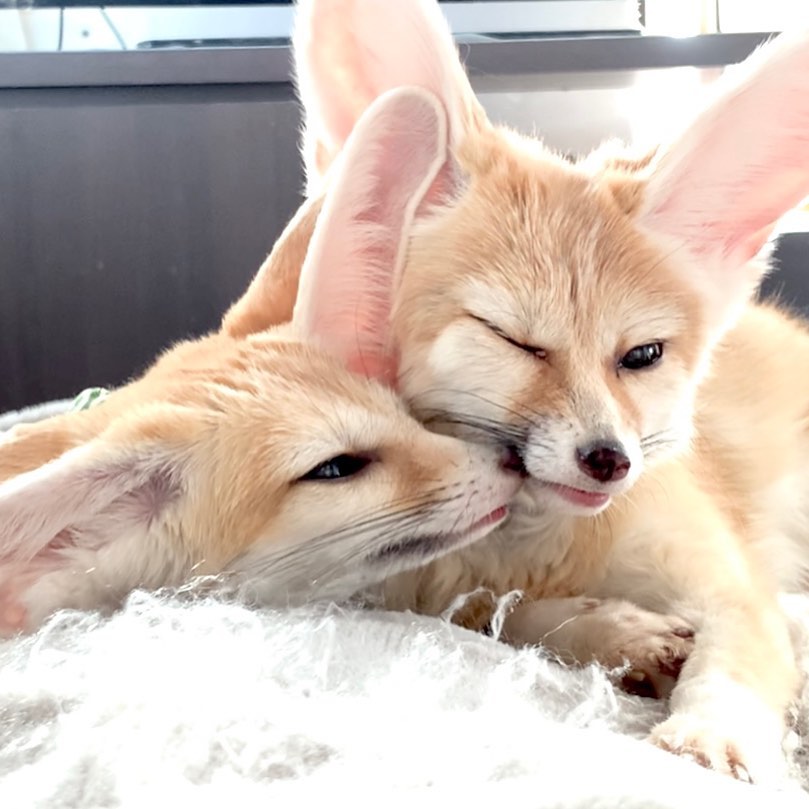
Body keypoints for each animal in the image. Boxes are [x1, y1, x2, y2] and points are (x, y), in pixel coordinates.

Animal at [219, 0, 809, 785]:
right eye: (511, 339)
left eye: (641, 356)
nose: (610, 461)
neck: (528, 546)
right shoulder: (422, 593)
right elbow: (508, 617)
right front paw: (616, 632)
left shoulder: (737, 591)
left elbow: (736, 660)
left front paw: (712, 734)